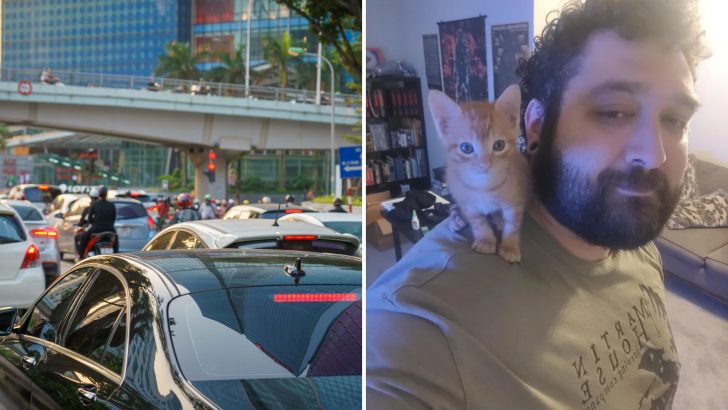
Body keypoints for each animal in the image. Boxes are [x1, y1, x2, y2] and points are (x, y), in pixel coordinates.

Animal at [430, 85, 532, 262]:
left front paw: (510, 246)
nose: (485, 164)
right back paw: (457, 220)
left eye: (499, 145)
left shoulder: (515, 199)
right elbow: (478, 222)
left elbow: (512, 224)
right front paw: (485, 240)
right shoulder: (467, 203)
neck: (484, 185)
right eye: (466, 148)